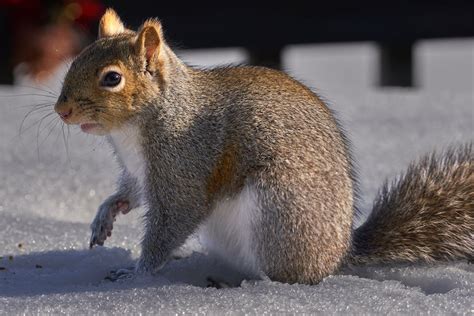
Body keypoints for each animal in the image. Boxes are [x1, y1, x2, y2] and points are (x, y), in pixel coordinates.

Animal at [53, 9, 472, 284]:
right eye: (75, 61)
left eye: (112, 78)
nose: (62, 110)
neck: (135, 131)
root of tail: (337, 255)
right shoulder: (141, 173)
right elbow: (130, 193)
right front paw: (106, 214)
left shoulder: (186, 163)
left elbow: (172, 221)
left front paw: (135, 272)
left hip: (279, 211)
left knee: (285, 273)